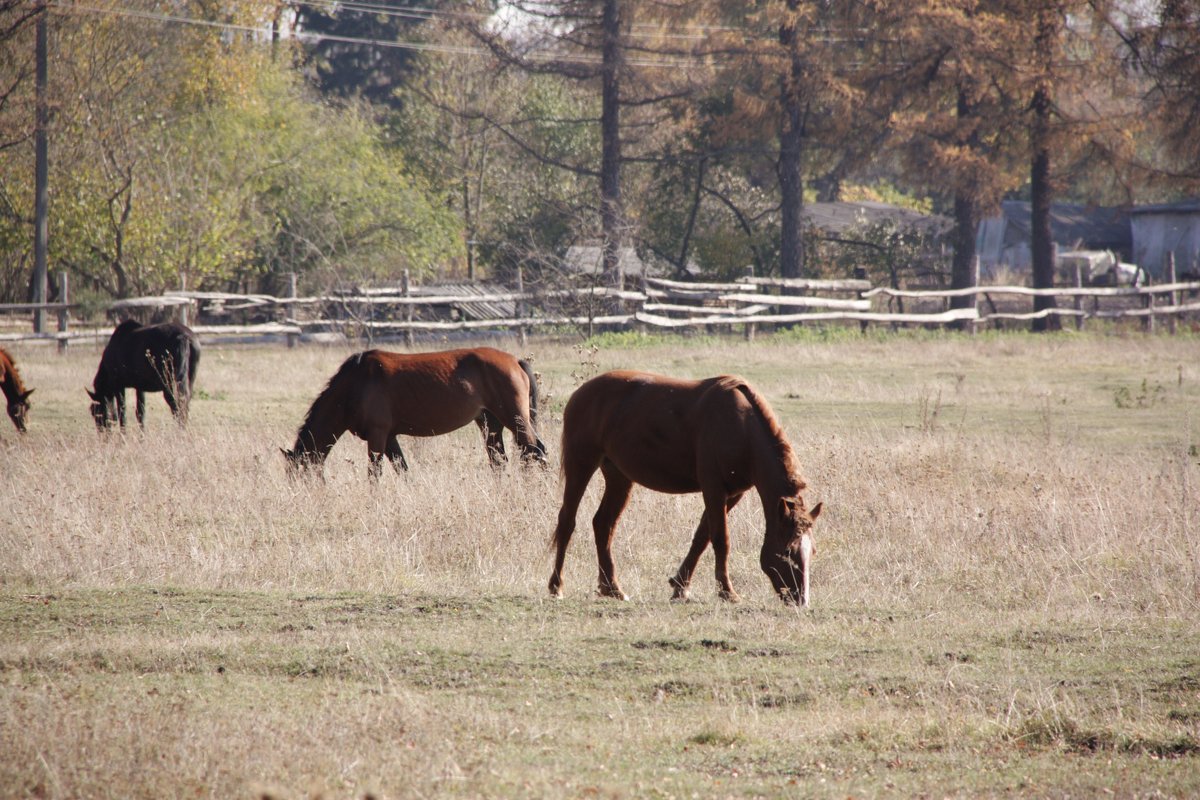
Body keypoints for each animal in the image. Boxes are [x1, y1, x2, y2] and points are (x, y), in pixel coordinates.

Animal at [288, 345, 549, 474]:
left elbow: (375, 472)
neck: (357, 382)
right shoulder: (390, 438)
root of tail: (515, 361)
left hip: (514, 420)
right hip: (490, 423)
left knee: (537, 451)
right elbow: (403, 470)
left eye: (300, 474)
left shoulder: (377, 435)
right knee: (500, 461)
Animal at [547, 369, 820, 606]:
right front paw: (727, 591)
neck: (741, 426)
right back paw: (556, 586)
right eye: (787, 551)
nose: (801, 601)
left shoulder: (733, 494)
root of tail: (581, 393)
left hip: (619, 477)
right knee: (567, 522)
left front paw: (680, 587)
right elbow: (721, 539)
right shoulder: (714, 489)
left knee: (604, 525)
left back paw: (612, 588)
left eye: (812, 551)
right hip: (581, 465)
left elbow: (702, 537)